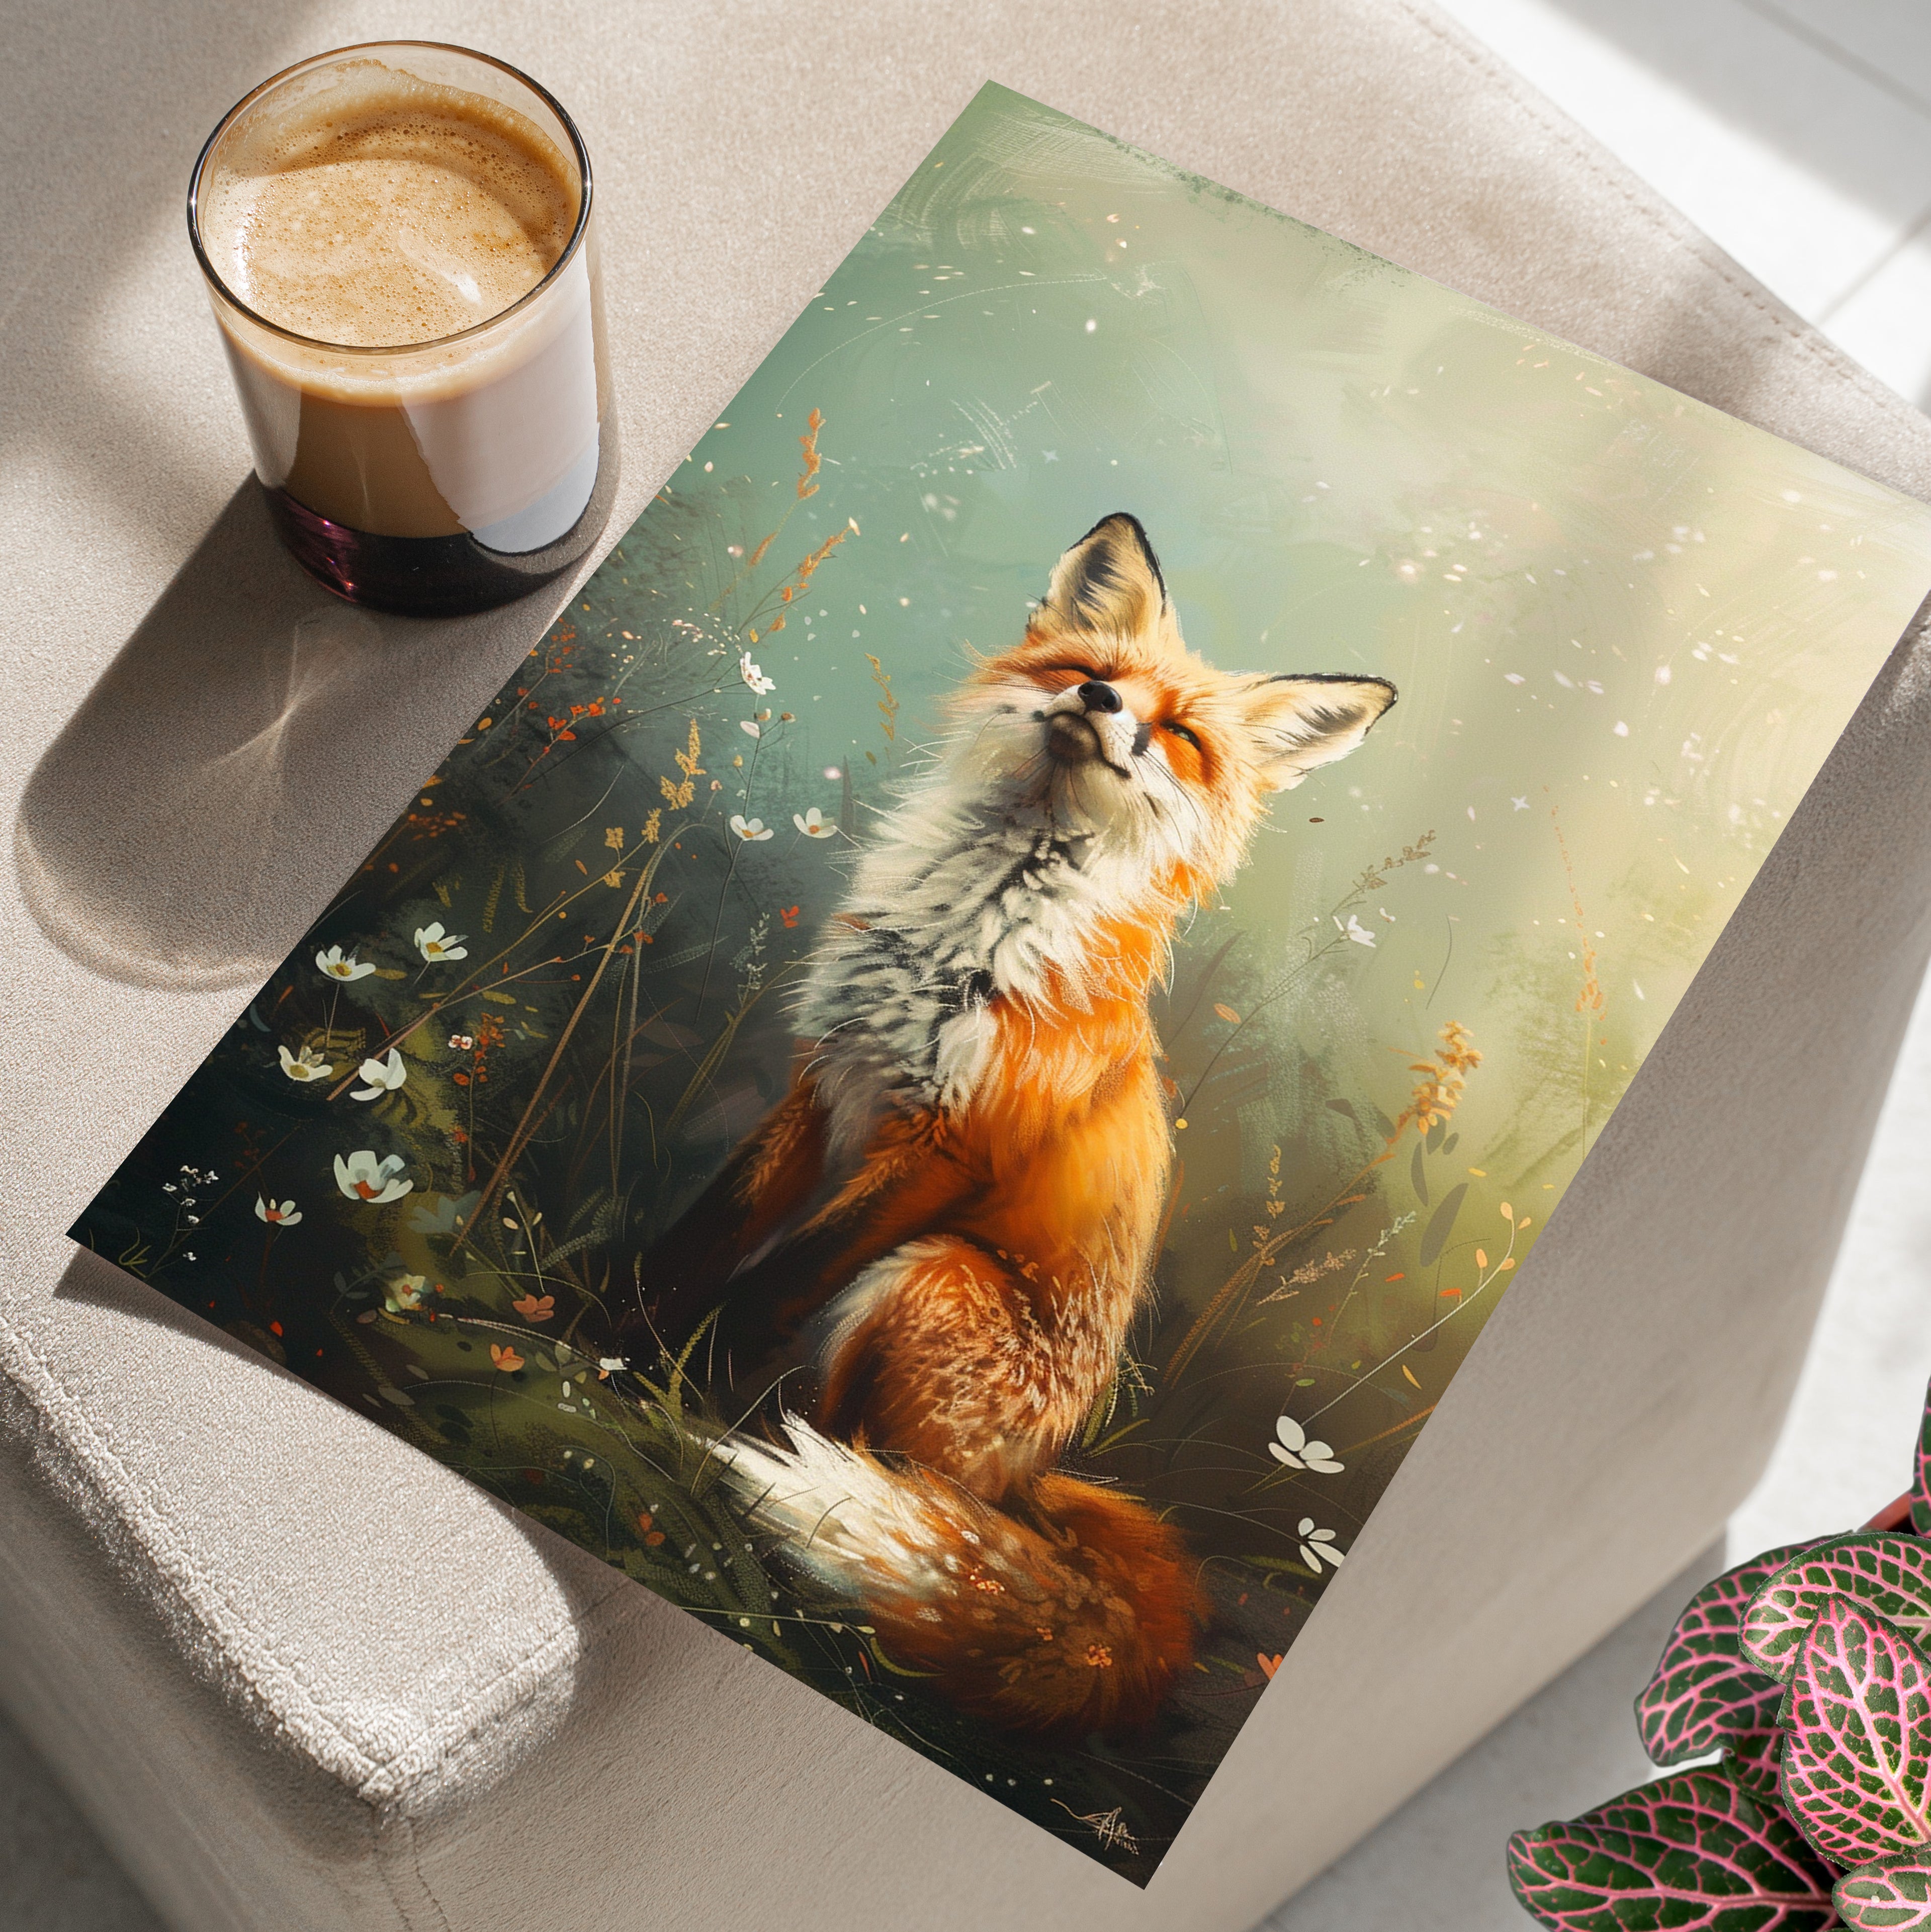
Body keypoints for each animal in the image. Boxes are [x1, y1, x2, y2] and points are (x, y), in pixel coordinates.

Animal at [616, 513, 1395, 1737]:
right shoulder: (818, 1084)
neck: (971, 933)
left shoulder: (947, 1149)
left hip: (929, 1276)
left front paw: (660, 1378)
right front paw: (601, 1336)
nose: (1098, 699)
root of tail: (1028, 1479)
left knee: (874, 1465)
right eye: (1090, 669)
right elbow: (702, 1240)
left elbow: (765, 1287)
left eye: (1181, 735)